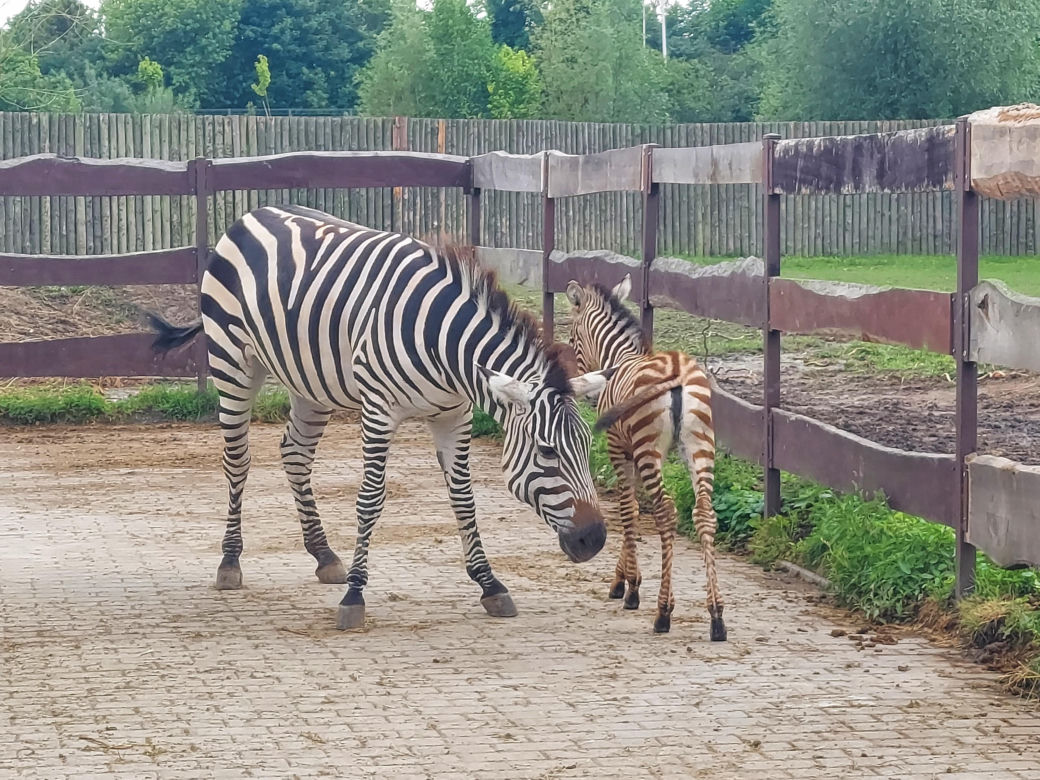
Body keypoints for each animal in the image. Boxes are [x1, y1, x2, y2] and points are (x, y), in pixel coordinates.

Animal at [149, 205, 612, 629]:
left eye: (588, 447)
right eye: (547, 452)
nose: (595, 539)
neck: (444, 346)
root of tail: (252, 214)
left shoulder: (455, 415)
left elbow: (464, 499)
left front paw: (490, 585)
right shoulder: (379, 412)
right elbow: (370, 499)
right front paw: (355, 595)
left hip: (309, 382)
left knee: (295, 454)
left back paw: (323, 554)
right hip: (233, 362)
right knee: (237, 460)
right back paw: (230, 561)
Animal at [565, 274, 726, 640]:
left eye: (572, 338)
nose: (585, 390)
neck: (622, 356)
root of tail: (677, 370)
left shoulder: (619, 449)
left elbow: (628, 511)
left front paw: (631, 588)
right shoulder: (636, 452)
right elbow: (635, 509)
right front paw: (620, 579)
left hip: (651, 449)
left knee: (666, 511)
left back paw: (663, 612)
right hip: (700, 446)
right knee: (704, 513)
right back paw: (716, 616)